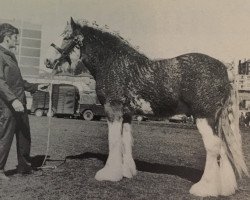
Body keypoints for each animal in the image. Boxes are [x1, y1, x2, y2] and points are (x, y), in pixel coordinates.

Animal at [45, 17, 248, 197]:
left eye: (67, 37)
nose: (48, 61)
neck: (114, 63)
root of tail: (225, 70)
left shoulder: (113, 109)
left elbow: (114, 140)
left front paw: (109, 174)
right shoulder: (127, 114)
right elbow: (126, 140)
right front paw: (126, 171)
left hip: (203, 117)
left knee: (213, 147)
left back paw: (204, 188)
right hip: (216, 120)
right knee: (222, 148)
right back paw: (224, 188)